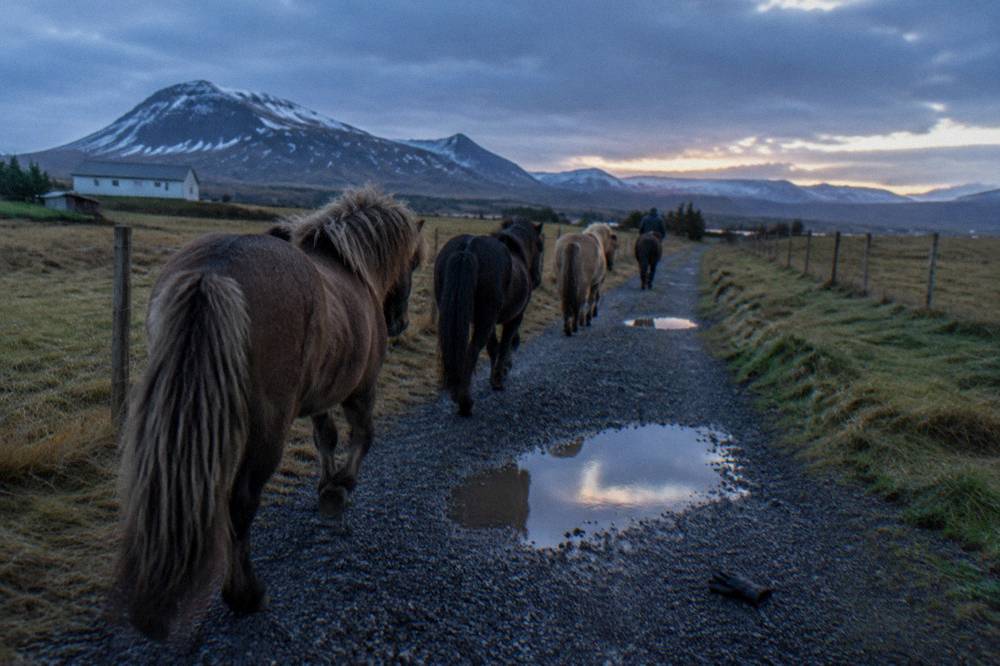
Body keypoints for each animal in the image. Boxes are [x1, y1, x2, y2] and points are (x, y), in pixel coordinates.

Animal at [114, 188, 424, 640]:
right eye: (414, 262)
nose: (399, 322)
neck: (351, 268)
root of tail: (213, 272)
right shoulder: (360, 388)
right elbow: (363, 435)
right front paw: (340, 489)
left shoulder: (321, 395)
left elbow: (325, 437)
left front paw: (327, 484)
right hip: (267, 429)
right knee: (240, 504)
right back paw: (245, 594)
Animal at [434, 217, 544, 416]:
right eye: (540, 246)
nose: (537, 279)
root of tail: (468, 248)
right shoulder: (515, 318)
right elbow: (506, 344)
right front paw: (499, 377)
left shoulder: (490, 321)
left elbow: (494, 347)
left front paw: (496, 376)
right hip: (486, 319)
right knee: (472, 349)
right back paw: (465, 402)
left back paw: (456, 392)